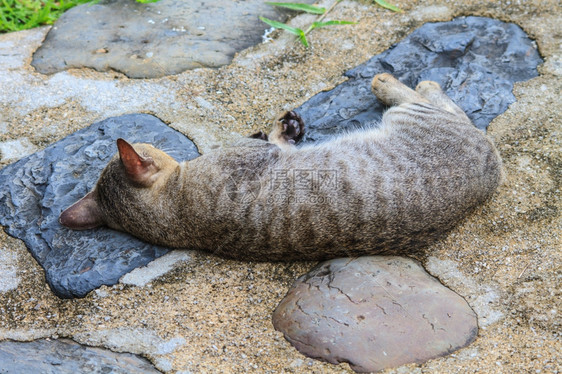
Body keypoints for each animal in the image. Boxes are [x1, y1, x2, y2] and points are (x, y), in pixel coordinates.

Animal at [59, 73, 500, 260]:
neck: (175, 214)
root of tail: (491, 175)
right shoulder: (257, 156)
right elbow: (271, 143)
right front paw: (281, 130)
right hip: (418, 119)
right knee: (439, 104)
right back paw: (396, 81)